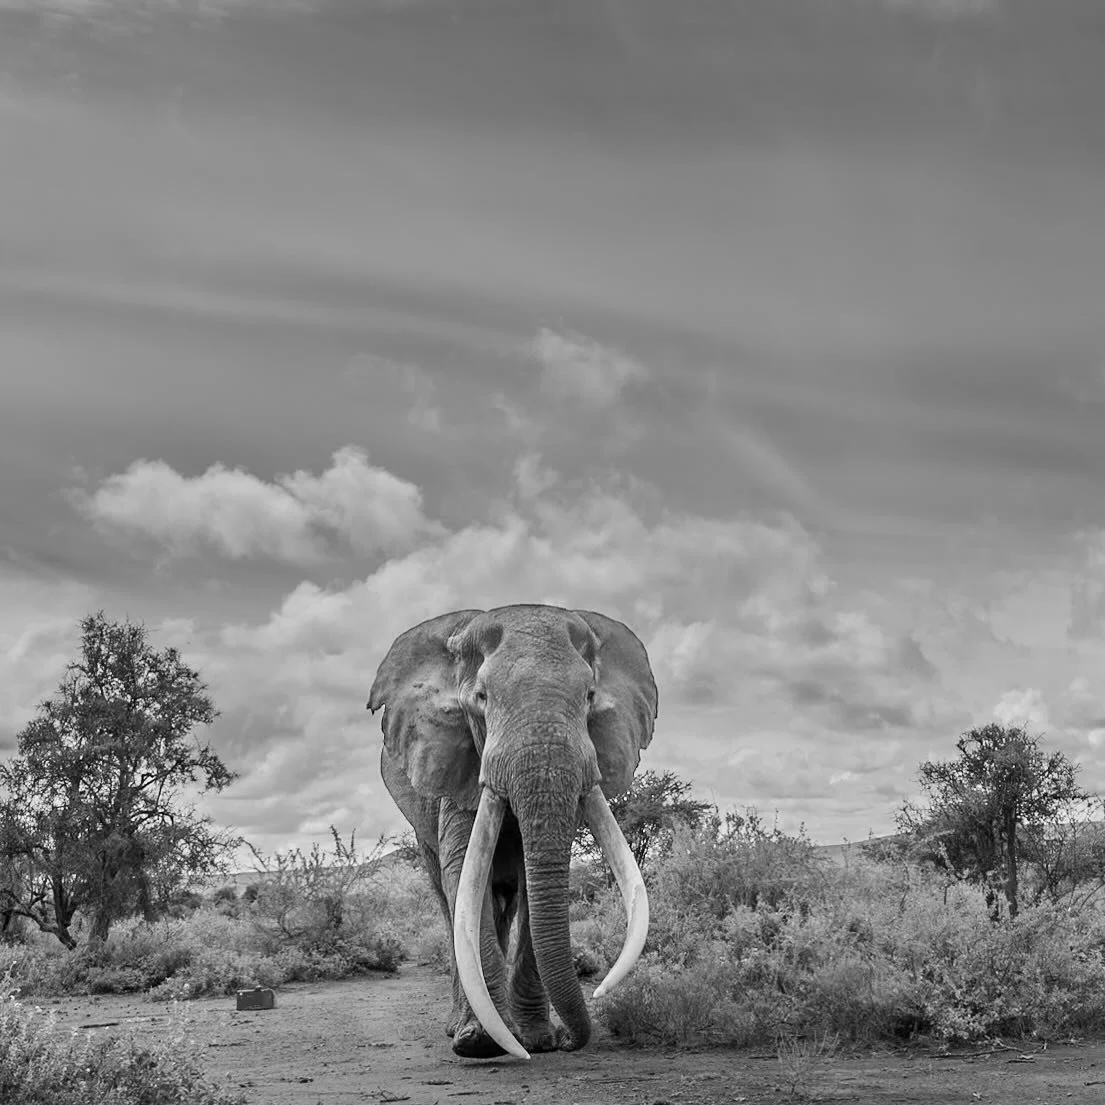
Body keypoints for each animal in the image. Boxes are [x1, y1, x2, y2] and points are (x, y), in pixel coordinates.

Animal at [368, 604, 658, 1060]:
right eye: (482, 699)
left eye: (589, 697)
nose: (570, 1042)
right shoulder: (457, 765)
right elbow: (464, 873)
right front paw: (481, 1044)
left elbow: (530, 878)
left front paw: (537, 1040)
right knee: (451, 904)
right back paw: (460, 1027)